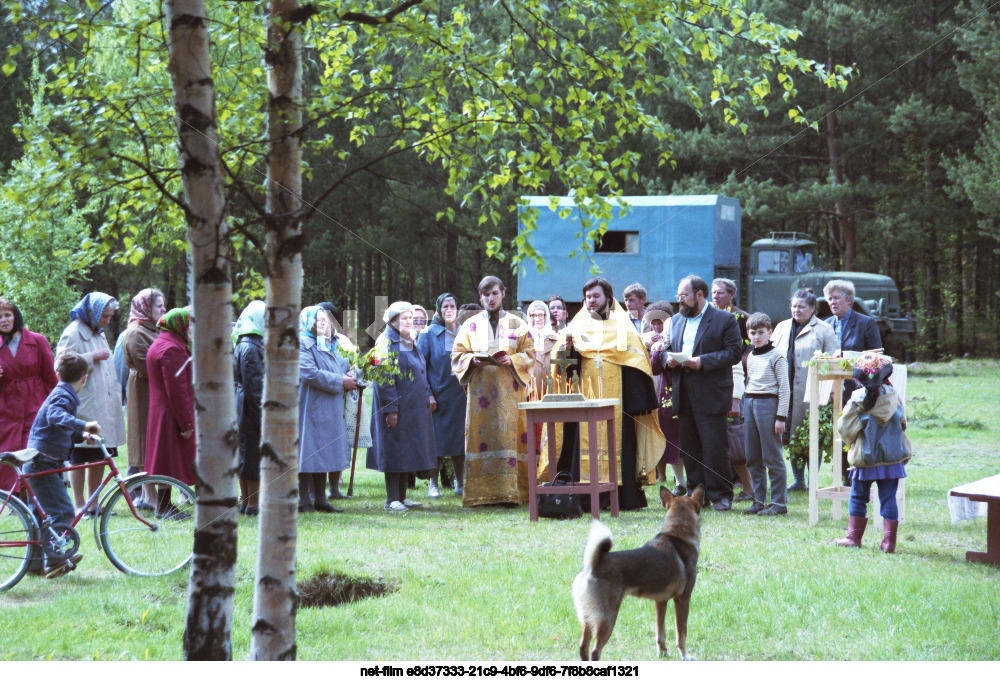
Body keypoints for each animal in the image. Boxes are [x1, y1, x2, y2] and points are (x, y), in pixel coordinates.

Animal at [572, 486, 704, 660]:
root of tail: (592, 565)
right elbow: (681, 634)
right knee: (595, 652)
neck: (677, 534)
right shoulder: (682, 600)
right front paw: (685, 656)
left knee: (583, 647)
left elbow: (660, 633)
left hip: (589, 619)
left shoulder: (660, 602)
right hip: (607, 618)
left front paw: (663, 653)